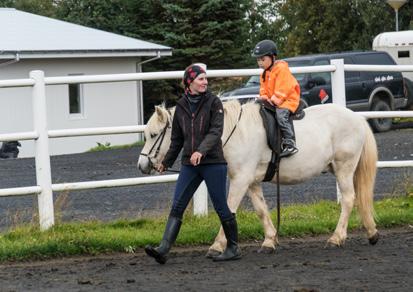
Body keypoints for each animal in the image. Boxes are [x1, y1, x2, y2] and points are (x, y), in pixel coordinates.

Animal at [137, 101, 378, 256]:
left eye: (153, 135)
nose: (142, 165)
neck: (234, 132)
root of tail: (357, 117)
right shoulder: (251, 182)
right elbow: (261, 210)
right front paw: (270, 241)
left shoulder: (240, 180)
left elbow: (228, 209)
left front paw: (217, 245)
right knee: (358, 200)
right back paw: (372, 232)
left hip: (344, 168)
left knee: (348, 199)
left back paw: (336, 238)